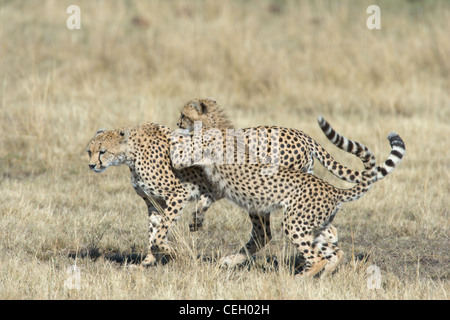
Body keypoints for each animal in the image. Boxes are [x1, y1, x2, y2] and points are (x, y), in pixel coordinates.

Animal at [171, 117, 406, 278]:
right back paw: (323, 274)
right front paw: (196, 219)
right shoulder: (217, 185)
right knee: (334, 248)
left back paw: (301, 277)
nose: (178, 122)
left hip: (292, 221)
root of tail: (333, 189)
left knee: (306, 252)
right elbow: (206, 198)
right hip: (312, 224)